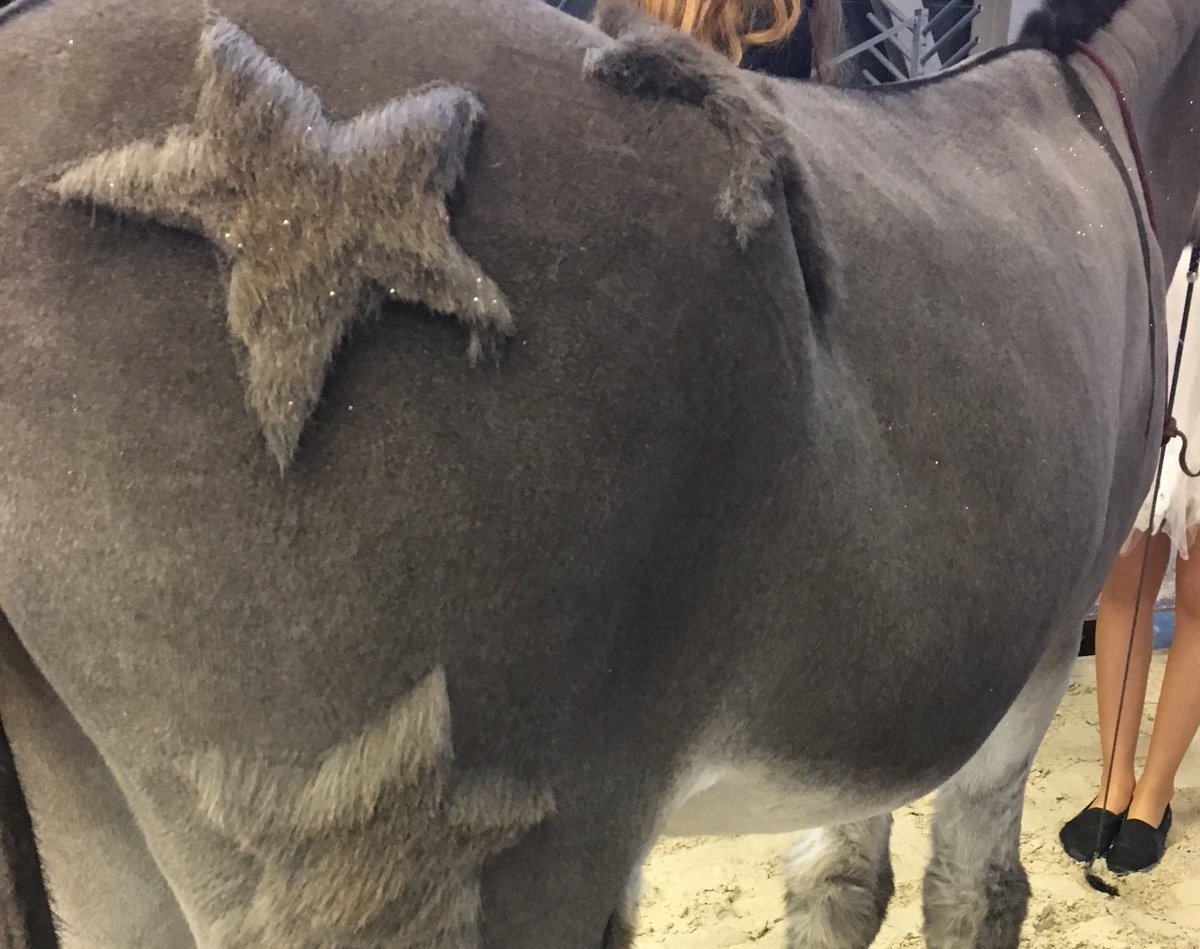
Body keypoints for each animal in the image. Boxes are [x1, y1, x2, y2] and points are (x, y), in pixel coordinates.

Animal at [0, 0, 1197, 945]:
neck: (1093, 118)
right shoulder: (1033, 664)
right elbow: (975, 890)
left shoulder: (884, 694)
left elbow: (841, 882)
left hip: (118, 841)